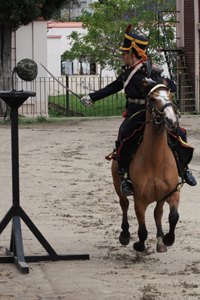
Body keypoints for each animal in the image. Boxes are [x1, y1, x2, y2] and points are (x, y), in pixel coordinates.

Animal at [111, 78, 181, 252]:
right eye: (153, 99)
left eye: (171, 95)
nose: (172, 121)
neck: (155, 161)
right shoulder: (140, 201)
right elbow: (142, 230)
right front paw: (139, 245)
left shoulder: (169, 193)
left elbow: (172, 216)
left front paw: (167, 239)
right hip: (118, 185)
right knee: (124, 204)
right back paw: (125, 234)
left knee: (158, 213)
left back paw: (161, 240)